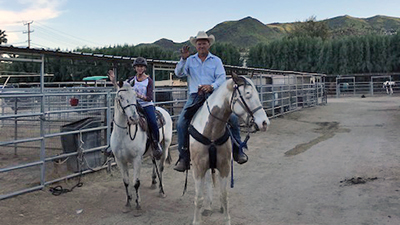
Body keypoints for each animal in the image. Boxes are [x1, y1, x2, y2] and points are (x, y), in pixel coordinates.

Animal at [110, 80, 173, 213]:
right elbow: (126, 182)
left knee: (161, 166)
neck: (124, 134)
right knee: (154, 161)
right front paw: (128, 202)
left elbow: (136, 183)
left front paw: (138, 203)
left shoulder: (137, 159)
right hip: (152, 149)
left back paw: (161, 190)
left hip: (165, 145)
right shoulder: (120, 160)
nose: (134, 118)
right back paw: (154, 181)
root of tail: (162, 110)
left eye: (135, 95)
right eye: (120, 97)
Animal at [189, 73, 270, 224]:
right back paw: (207, 207)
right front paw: (197, 220)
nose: (264, 123)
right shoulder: (198, 168)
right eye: (248, 94)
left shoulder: (224, 167)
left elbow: (224, 196)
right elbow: (198, 198)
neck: (211, 133)